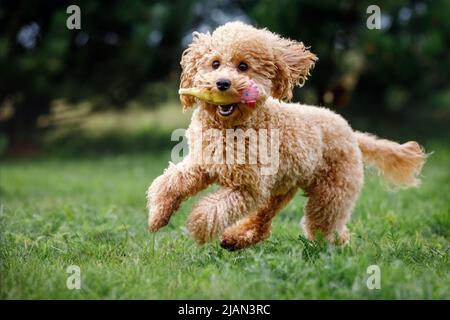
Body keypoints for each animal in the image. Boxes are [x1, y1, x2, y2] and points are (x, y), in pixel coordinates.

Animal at [147, 22, 426, 251]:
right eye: (215, 63)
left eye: (243, 66)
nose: (222, 84)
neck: (230, 127)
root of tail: (350, 131)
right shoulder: (201, 164)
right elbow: (170, 183)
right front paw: (157, 216)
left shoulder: (248, 187)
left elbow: (214, 209)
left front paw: (197, 225)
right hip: (281, 190)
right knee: (263, 223)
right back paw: (235, 240)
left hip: (329, 193)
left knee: (326, 227)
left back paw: (332, 250)